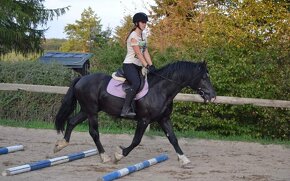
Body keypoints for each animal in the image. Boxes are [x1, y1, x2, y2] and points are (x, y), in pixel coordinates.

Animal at [53, 60, 215, 167]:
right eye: (204, 77)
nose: (212, 96)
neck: (161, 90)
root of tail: (82, 78)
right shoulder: (144, 120)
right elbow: (136, 140)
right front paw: (119, 155)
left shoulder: (164, 119)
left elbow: (173, 139)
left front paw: (183, 159)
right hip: (92, 111)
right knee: (94, 132)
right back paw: (104, 157)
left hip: (87, 110)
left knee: (72, 121)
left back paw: (61, 144)